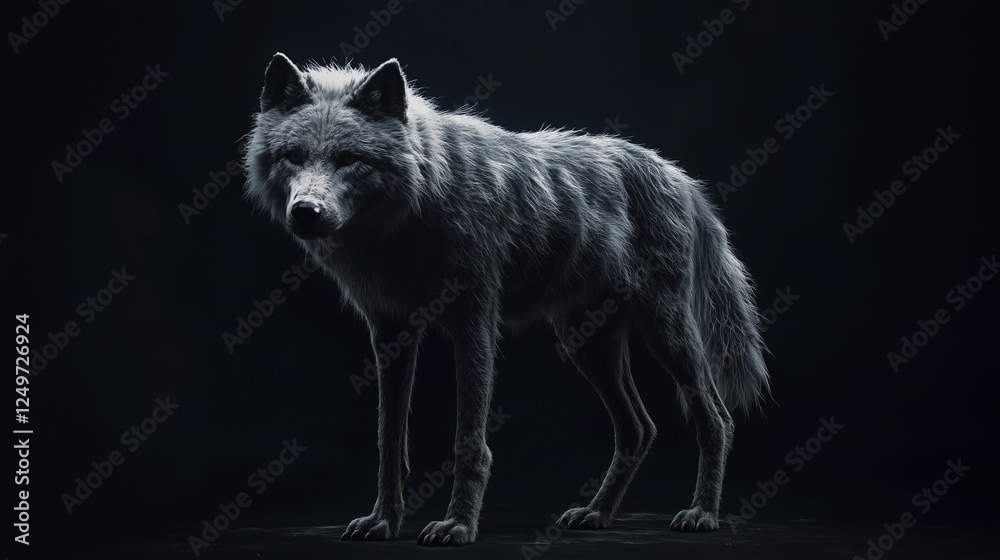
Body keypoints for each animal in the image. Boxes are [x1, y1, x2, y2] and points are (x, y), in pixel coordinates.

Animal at [244, 53, 769, 546]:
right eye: (293, 156)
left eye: (350, 158)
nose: (306, 212)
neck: (411, 217)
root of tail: (681, 177)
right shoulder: (391, 332)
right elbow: (389, 439)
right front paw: (384, 521)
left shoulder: (473, 321)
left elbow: (468, 439)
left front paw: (457, 525)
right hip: (587, 346)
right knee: (639, 428)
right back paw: (596, 514)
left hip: (664, 333)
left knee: (716, 419)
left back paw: (701, 514)